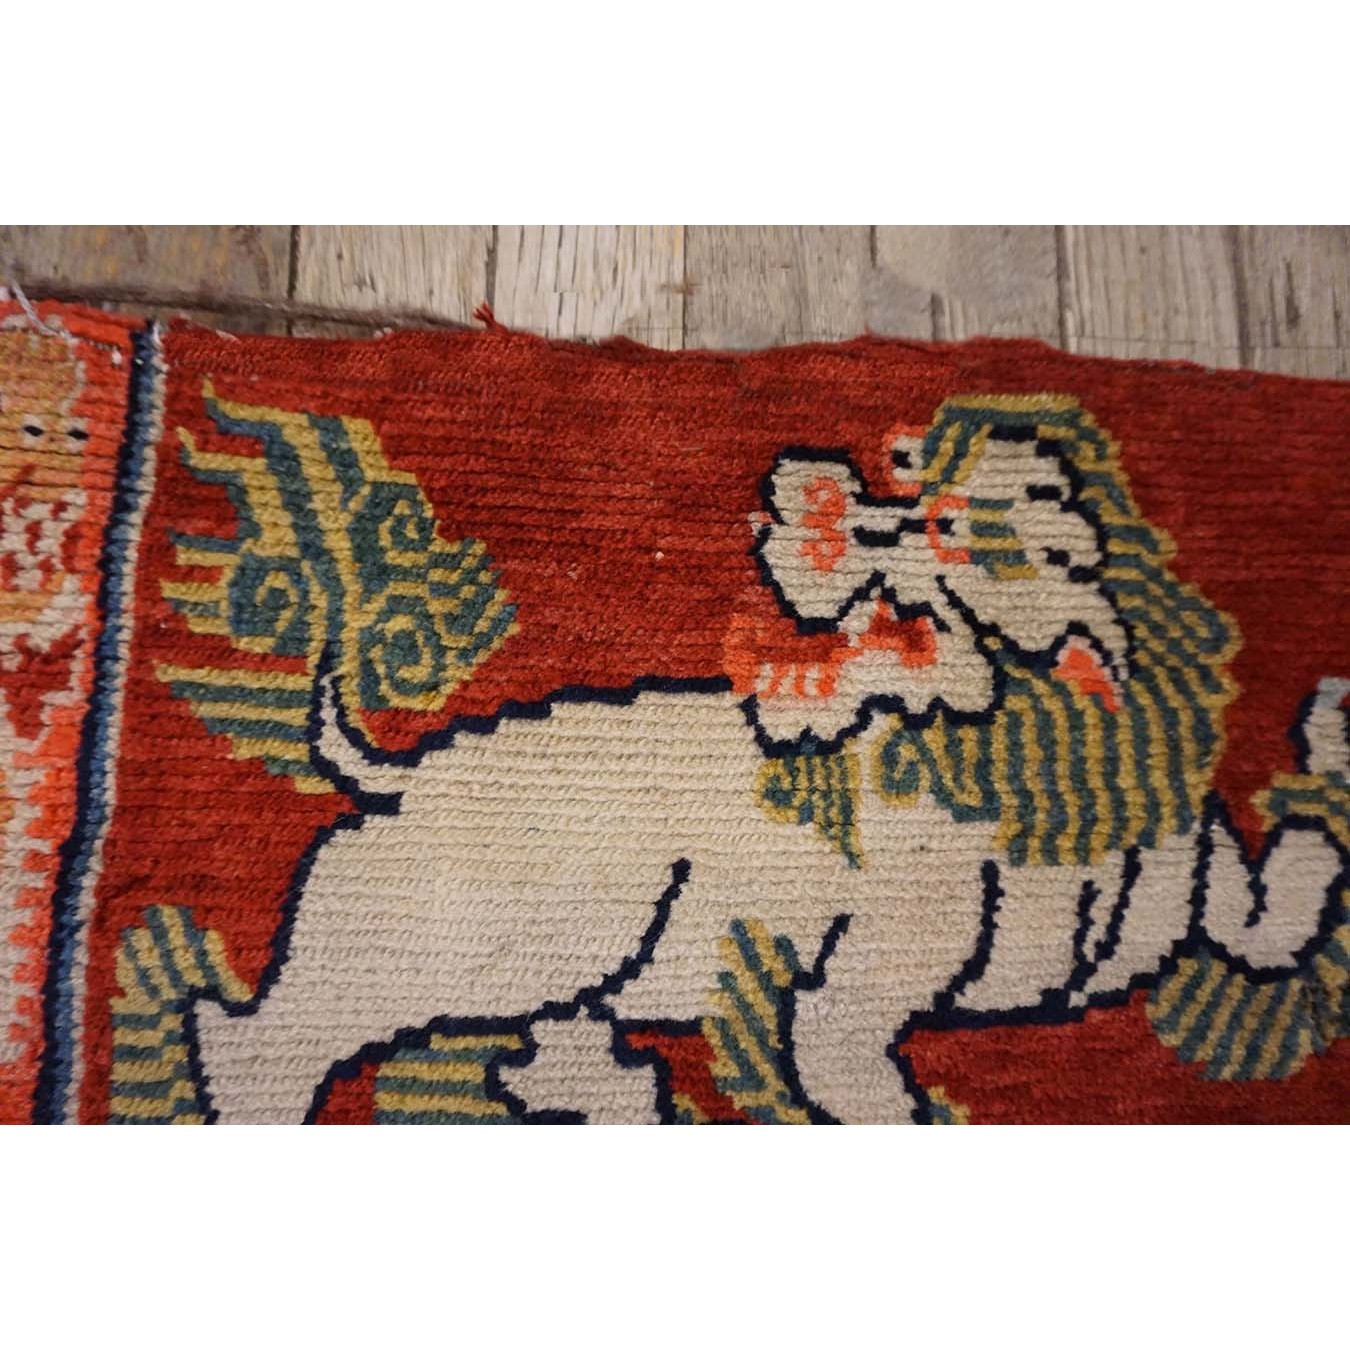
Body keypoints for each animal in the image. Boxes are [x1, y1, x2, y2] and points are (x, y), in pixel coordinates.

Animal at [192, 396, 1349, 1123]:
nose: (856, 533)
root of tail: (415, 767)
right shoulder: (875, 968)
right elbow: (862, 1075)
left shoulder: (1199, 884)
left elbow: (1273, 907)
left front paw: (1326, 747)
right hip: (518, 921)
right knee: (289, 1023)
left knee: (555, 1048)